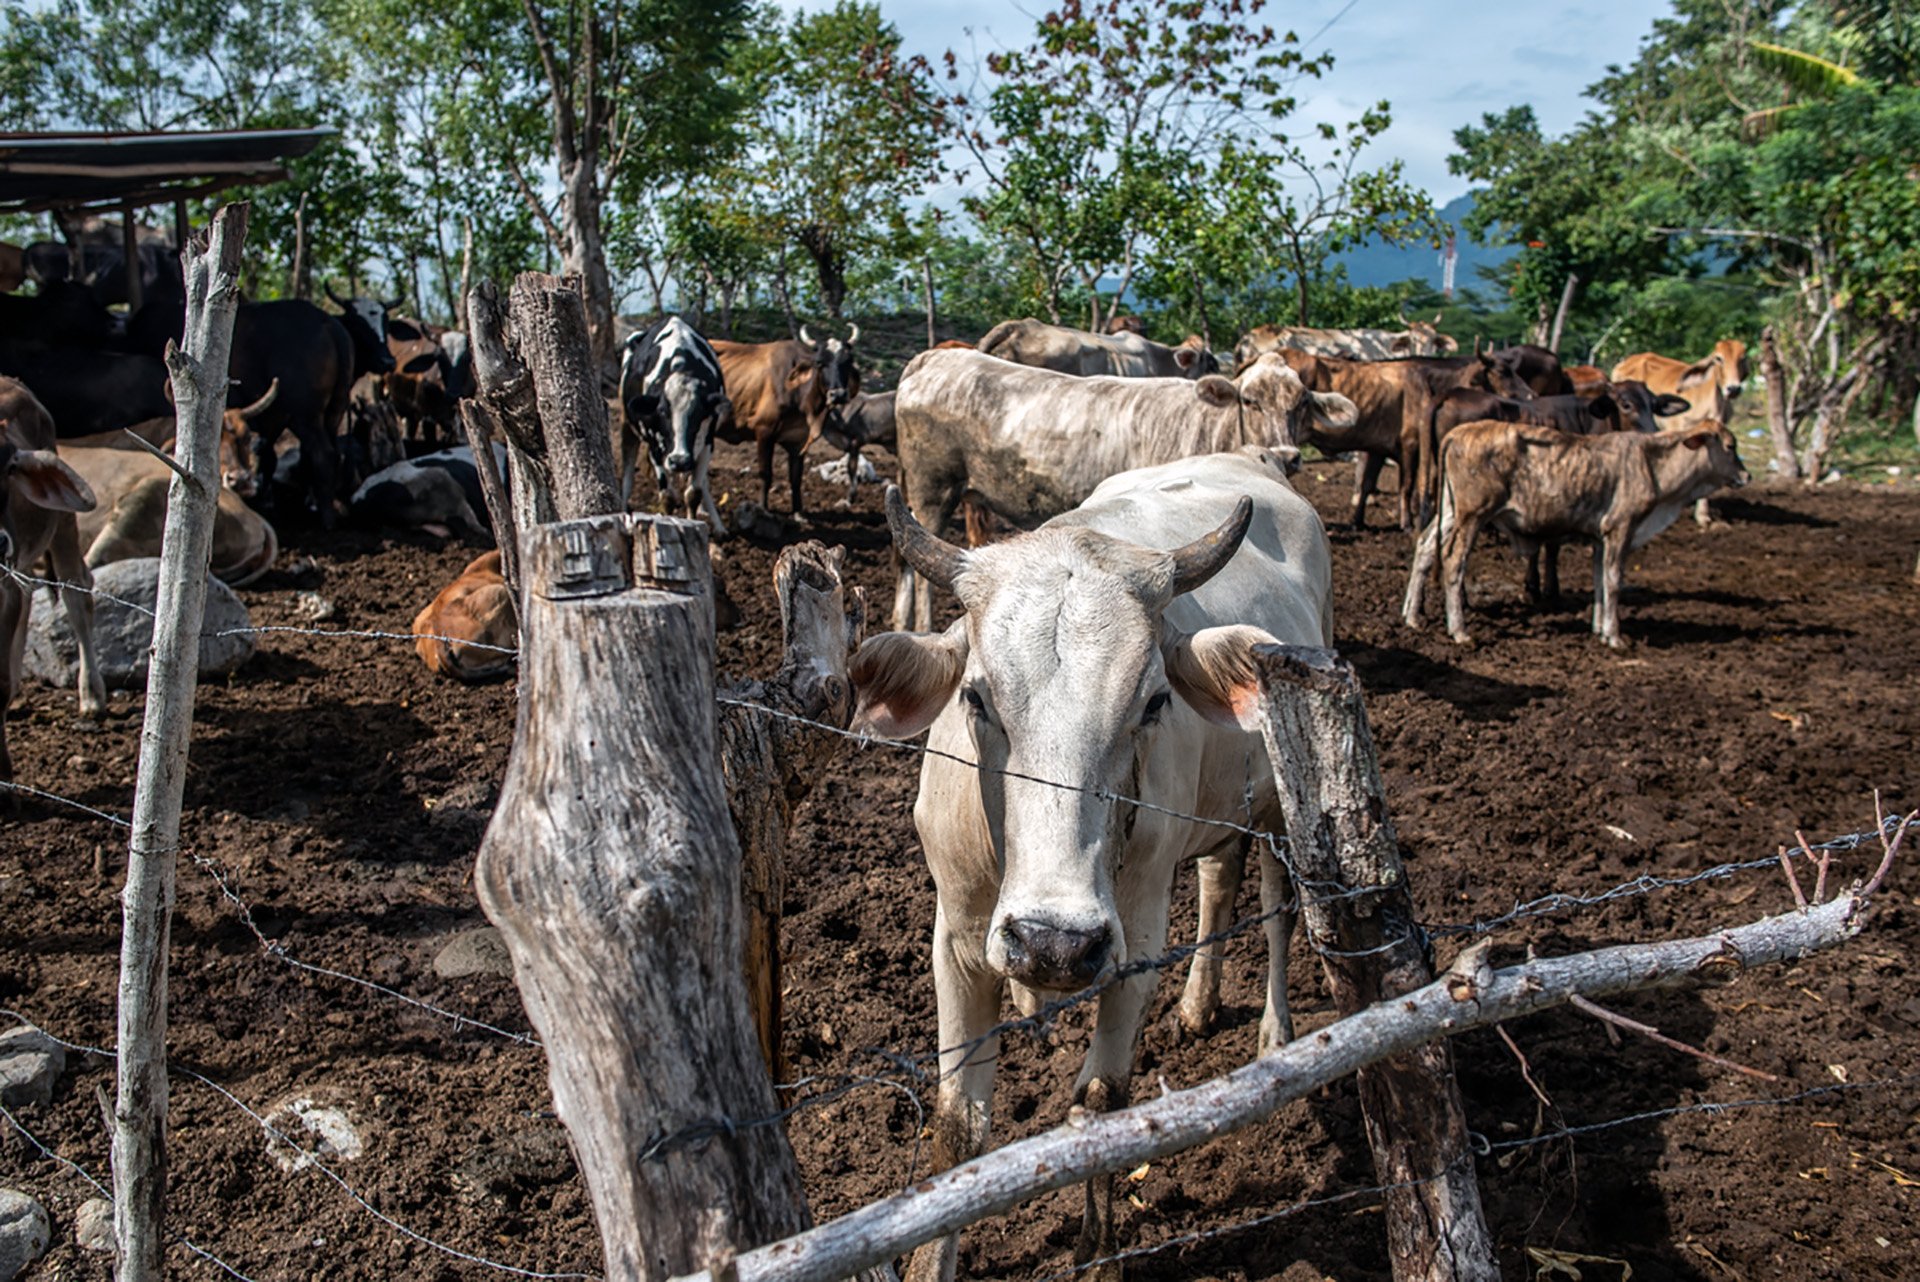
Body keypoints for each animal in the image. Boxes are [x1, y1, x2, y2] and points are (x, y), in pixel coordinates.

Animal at [618, 318, 729, 533]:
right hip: (627, 425)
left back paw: (717, 524)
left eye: (699, 414)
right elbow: (667, 497)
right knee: (627, 472)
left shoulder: (707, 442)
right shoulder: (654, 445)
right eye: (662, 411)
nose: (679, 461)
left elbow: (693, 493)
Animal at [714, 326, 864, 514]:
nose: (838, 394)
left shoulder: (799, 439)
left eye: (848, 362)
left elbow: (796, 477)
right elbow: (765, 474)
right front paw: (763, 508)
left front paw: (798, 511)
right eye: (819, 362)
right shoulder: (764, 431)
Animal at [848, 451, 1328, 1282]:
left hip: (1279, 807)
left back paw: (1274, 1033)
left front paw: (1099, 1254)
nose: (1055, 943)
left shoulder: (1134, 936)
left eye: (1152, 702)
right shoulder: (957, 938)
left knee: (1275, 908)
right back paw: (1196, 1005)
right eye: (976, 697)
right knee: (1219, 880)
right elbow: (958, 1126)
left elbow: (1103, 1100)